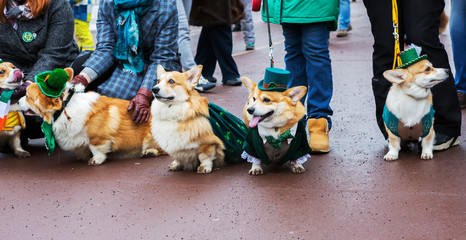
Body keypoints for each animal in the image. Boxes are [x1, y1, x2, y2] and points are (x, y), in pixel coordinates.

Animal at [18, 67, 164, 165]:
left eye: (27, 96)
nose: (17, 101)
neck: (66, 107)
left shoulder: (97, 139)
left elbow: (96, 149)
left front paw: (95, 160)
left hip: (150, 137)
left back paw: (149, 152)